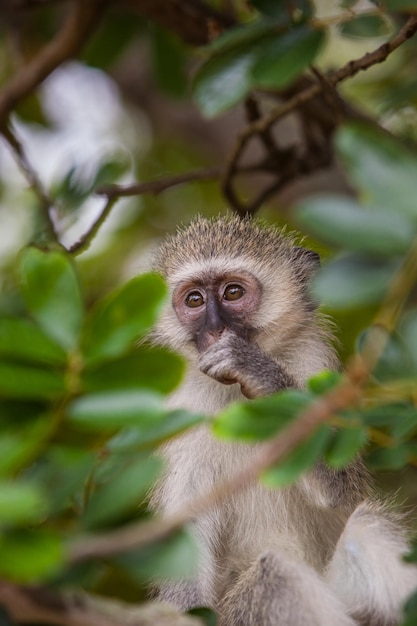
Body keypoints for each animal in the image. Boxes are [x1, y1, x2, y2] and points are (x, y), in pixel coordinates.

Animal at [148, 214, 414, 624]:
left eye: (233, 293)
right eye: (194, 300)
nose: (215, 331)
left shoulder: (318, 369)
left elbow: (341, 490)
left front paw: (256, 371)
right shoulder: (180, 415)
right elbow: (185, 543)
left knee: (366, 525)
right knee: (271, 576)